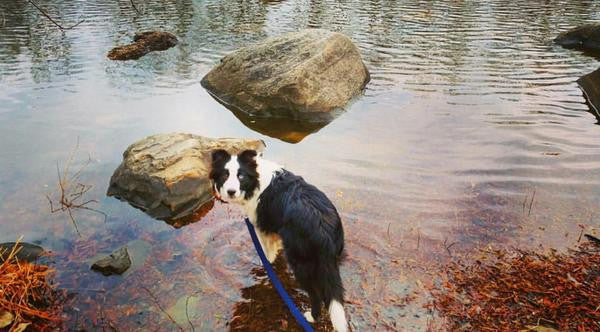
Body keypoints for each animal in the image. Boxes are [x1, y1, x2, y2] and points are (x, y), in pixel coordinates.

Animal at [210, 150, 346, 332]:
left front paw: (265, 264)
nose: (231, 192)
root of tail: (324, 230)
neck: (256, 180)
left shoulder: (262, 227)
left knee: (315, 294)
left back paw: (311, 316)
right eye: (225, 175)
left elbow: (267, 253)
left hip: (301, 262)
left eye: (241, 176)